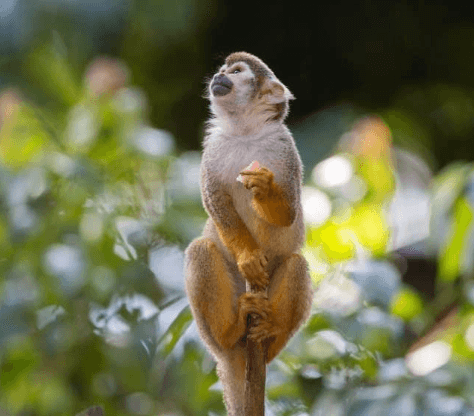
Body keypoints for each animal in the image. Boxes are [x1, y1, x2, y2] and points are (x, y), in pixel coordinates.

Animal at [184, 51, 314, 412]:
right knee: (200, 250)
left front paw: (265, 190)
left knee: (297, 263)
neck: (245, 131)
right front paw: (249, 257)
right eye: (222, 70)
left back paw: (270, 334)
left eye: (237, 71)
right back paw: (230, 331)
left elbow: (289, 212)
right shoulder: (212, 147)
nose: (219, 76)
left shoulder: (286, 148)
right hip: (214, 330)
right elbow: (216, 204)